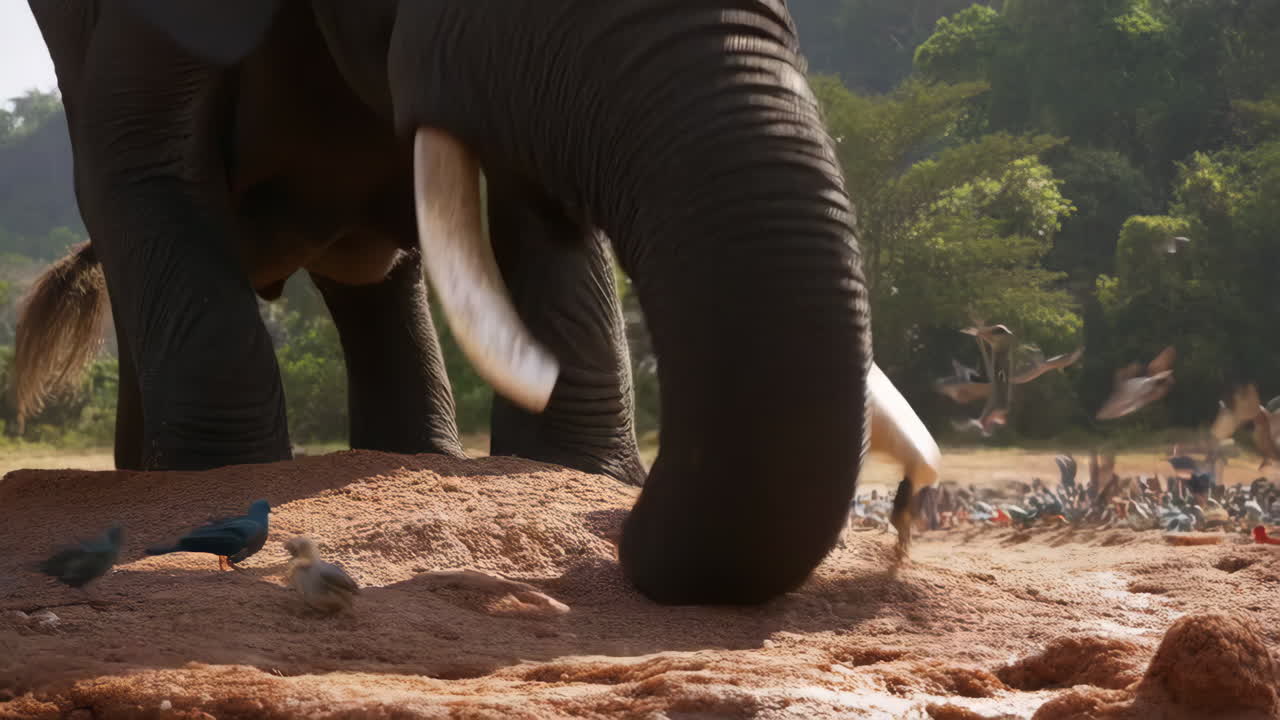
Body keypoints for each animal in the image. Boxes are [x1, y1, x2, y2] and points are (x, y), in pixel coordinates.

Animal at [14, 0, 932, 604]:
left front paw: (570, 473)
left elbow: (536, 205)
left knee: (376, 275)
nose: (622, 530)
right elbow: (146, 165)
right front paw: (224, 478)